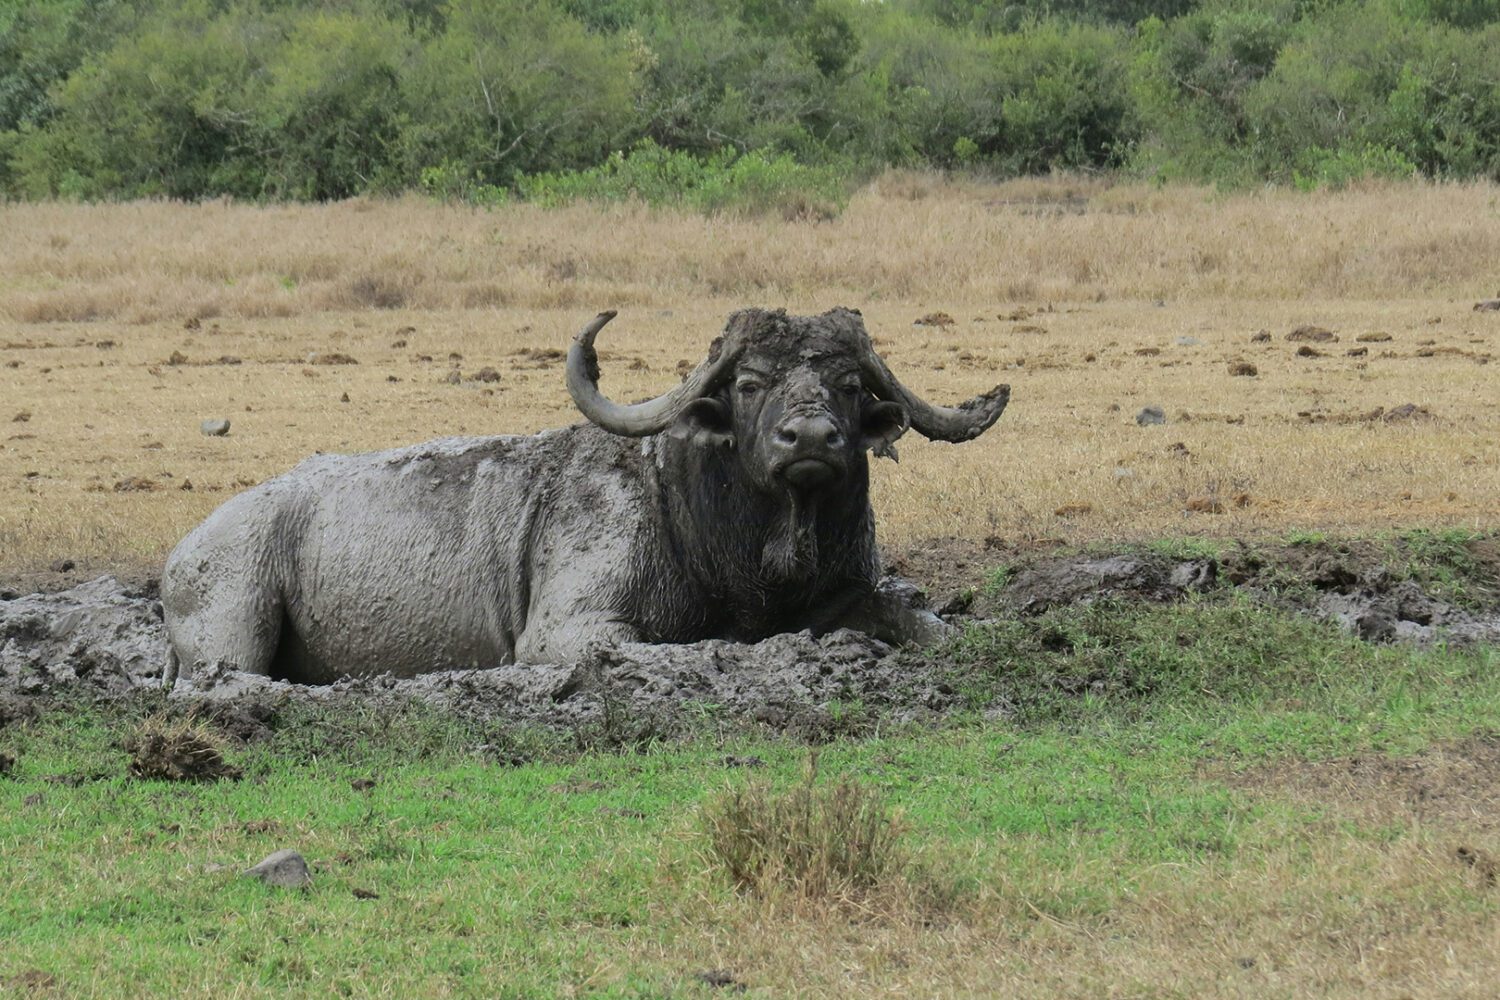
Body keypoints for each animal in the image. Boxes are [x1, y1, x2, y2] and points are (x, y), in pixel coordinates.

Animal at [162, 307, 1009, 684]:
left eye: (847, 384)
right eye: (749, 382)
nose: (809, 440)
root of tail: (184, 551)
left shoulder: (849, 593)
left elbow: (919, 623)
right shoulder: (567, 632)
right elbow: (704, 645)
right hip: (230, 629)